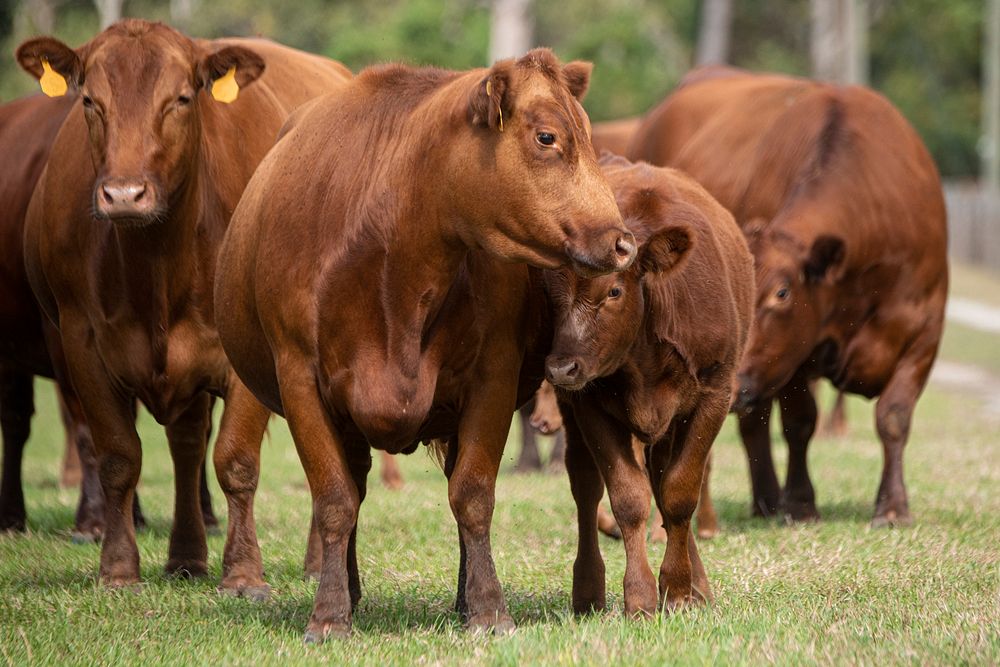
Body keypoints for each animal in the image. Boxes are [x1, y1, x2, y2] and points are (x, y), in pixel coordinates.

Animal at [16, 19, 352, 596]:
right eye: (90, 101)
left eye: (181, 98)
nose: (124, 194)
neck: (159, 262)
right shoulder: (80, 343)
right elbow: (117, 457)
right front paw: (118, 570)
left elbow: (236, 461)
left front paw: (243, 574)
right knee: (186, 441)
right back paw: (187, 557)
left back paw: (310, 564)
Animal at [212, 48, 636, 640]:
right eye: (547, 137)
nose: (623, 242)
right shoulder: (298, 379)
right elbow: (334, 499)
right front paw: (328, 616)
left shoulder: (492, 377)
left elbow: (473, 495)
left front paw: (488, 609)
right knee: (354, 487)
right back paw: (350, 593)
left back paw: (459, 598)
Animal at [544, 155, 752, 616]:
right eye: (551, 293)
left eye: (614, 291)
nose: (561, 367)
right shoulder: (590, 406)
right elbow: (628, 497)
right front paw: (639, 595)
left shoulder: (714, 396)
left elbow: (679, 492)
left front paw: (676, 588)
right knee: (586, 486)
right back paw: (588, 590)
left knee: (664, 480)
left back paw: (698, 585)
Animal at [628, 68, 948, 528]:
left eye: (782, 293)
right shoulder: (794, 356)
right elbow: (799, 422)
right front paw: (800, 502)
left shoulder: (924, 332)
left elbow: (894, 416)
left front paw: (892, 507)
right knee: (753, 423)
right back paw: (766, 497)